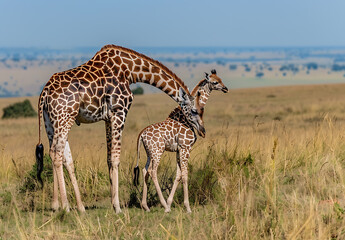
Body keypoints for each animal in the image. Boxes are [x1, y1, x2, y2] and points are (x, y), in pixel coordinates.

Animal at [35, 44, 204, 213]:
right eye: (195, 110)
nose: (202, 130)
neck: (130, 71)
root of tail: (45, 91)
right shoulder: (120, 111)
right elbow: (116, 158)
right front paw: (117, 207)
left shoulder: (107, 118)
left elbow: (109, 158)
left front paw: (112, 202)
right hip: (65, 118)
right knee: (57, 153)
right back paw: (65, 206)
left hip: (51, 122)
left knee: (56, 153)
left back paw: (64, 205)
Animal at [133, 69, 227, 212]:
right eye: (215, 82)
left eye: (220, 79)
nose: (225, 88)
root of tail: (142, 134)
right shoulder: (186, 147)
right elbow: (185, 174)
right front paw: (187, 207)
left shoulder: (179, 150)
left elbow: (178, 175)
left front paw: (170, 202)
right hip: (158, 151)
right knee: (153, 172)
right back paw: (163, 205)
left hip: (150, 153)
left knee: (145, 171)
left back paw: (146, 206)